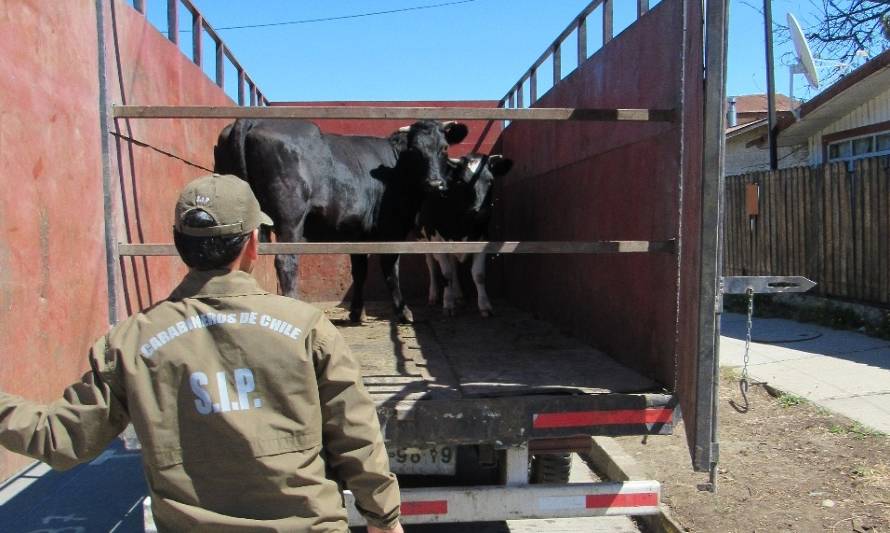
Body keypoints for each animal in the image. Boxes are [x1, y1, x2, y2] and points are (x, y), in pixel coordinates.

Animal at [212, 118, 468, 322]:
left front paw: (357, 312)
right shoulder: (391, 229)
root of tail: (252, 120)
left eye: (444, 148)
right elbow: (390, 269)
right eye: (415, 150)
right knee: (286, 262)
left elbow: (360, 270)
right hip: (290, 220)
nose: (435, 183)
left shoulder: (357, 234)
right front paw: (403, 312)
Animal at [416, 152, 512, 316]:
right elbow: (446, 273)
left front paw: (484, 306)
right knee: (431, 265)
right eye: (462, 182)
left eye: (491, 180)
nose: (481, 212)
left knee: (453, 264)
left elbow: (478, 275)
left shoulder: (482, 238)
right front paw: (448, 304)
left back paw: (458, 295)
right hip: (422, 238)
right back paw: (434, 296)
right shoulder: (436, 240)